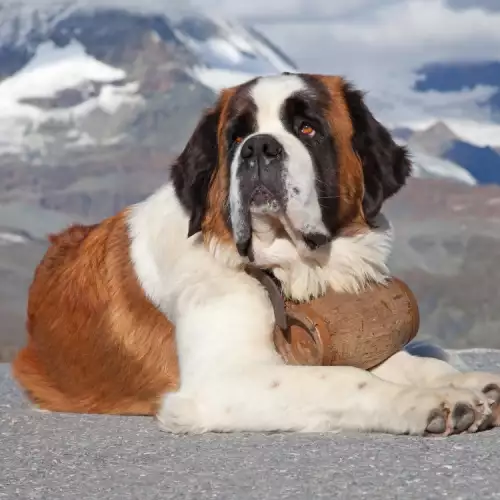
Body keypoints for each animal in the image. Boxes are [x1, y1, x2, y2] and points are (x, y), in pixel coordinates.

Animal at [10, 72, 500, 436]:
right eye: (236, 136)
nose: (259, 146)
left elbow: (404, 362)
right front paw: (431, 402)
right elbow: (349, 378)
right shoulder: (224, 381)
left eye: (308, 128)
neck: (277, 270)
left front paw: (469, 384)